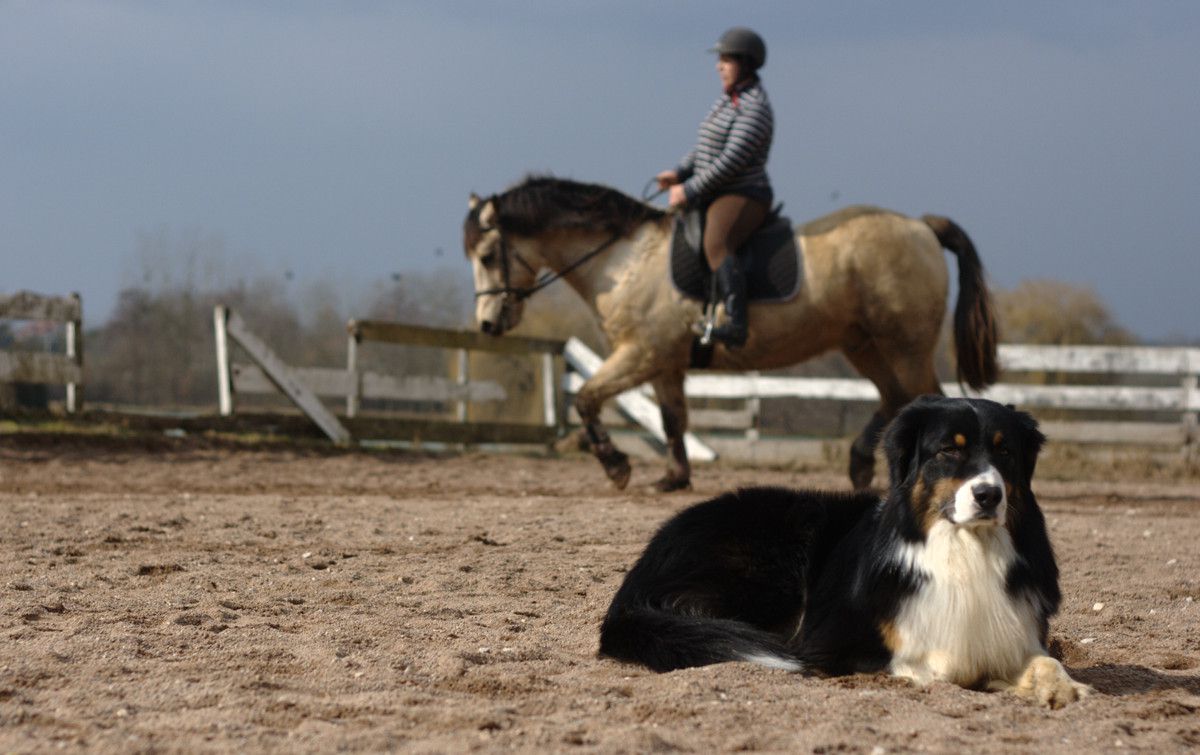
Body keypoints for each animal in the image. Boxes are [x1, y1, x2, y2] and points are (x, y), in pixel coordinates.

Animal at [463, 176, 997, 492]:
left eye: (488, 255)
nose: (488, 324)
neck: (625, 261)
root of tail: (922, 227)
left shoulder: (640, 353)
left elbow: (587, 398)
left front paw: (617, 466)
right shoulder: (665, 363)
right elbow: (672, 421)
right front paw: (674, 478)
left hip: (904, 346)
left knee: (925, 399)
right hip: (863, 344)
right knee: (894, 398)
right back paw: (861, 466)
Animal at [599, 396, 1090, 708]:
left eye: (1006, 453)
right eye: (949, 451)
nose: (989, 495)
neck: (964, 549)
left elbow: (1046, 660)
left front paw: (1062, 688)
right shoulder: (831, 642)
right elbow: (942, 666)